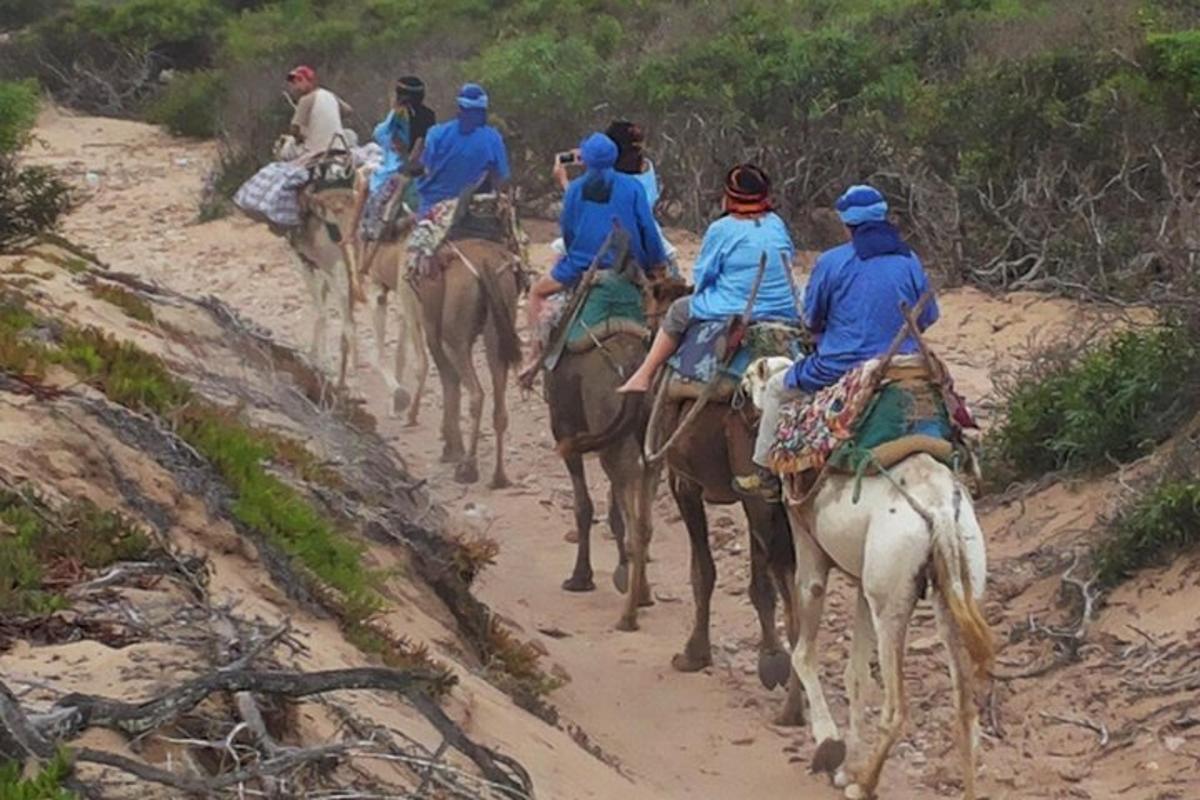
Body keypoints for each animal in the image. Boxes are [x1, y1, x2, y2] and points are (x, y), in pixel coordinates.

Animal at [415, 237, 523, 484]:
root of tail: (486, 263)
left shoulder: (432, 330)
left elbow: (449, 384)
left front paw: (451, 448)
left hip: (453, 337)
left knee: (476, 393)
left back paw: (467, 468)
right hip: (499, 327)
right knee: (499, 404)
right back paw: (499, 476)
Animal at [739, 357, 993, 800]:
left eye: (756, 375)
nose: (740, 386)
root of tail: (940, 511)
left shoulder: (809, 549)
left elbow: (804, 653)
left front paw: (829, 746)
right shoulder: (862, 582)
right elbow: (855, 674)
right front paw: (845, 765)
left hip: (891, 599)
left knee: (896, 707)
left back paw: (864, 784)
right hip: (954, 582)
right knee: (965, 705)